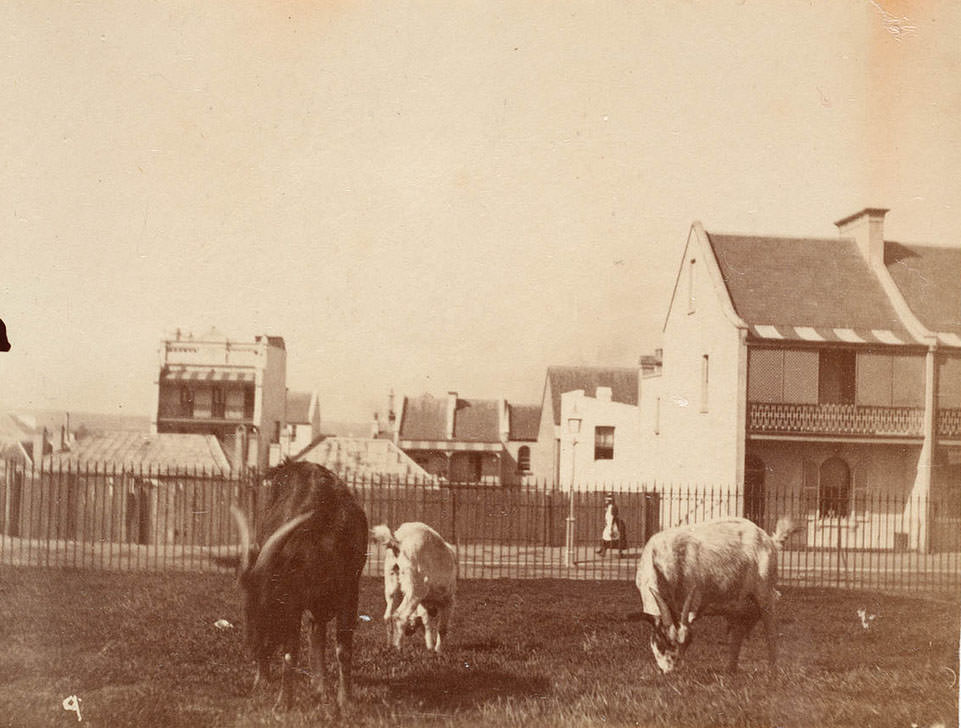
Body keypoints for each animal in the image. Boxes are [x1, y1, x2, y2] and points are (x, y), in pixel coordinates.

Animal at [370, 520, 456, 652]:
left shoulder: (424, 604)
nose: (408, 632)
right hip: (415, 589)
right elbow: (442, 628)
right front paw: (438, 650)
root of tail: (398, 541)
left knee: (388, 615)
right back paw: (398, 648)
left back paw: (389, 646)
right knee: (400, 616)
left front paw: (430, 647)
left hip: (391, 583)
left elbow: (426, 624)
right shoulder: (448, 600)